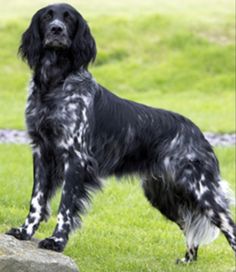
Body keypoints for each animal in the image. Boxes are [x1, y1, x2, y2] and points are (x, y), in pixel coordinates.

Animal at [6, 2, 235, 264]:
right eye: (47, 16)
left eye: (68, 18)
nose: (56, 29)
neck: (54, 84)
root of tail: (198, 133)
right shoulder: (42, 153)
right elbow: (36, 201)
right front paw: (24, 231)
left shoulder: (76, 159)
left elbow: (65, 207)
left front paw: (56, 241)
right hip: (164, 195)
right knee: (190, 227)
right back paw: (187, 261)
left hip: (200, 190)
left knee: (228, 224)